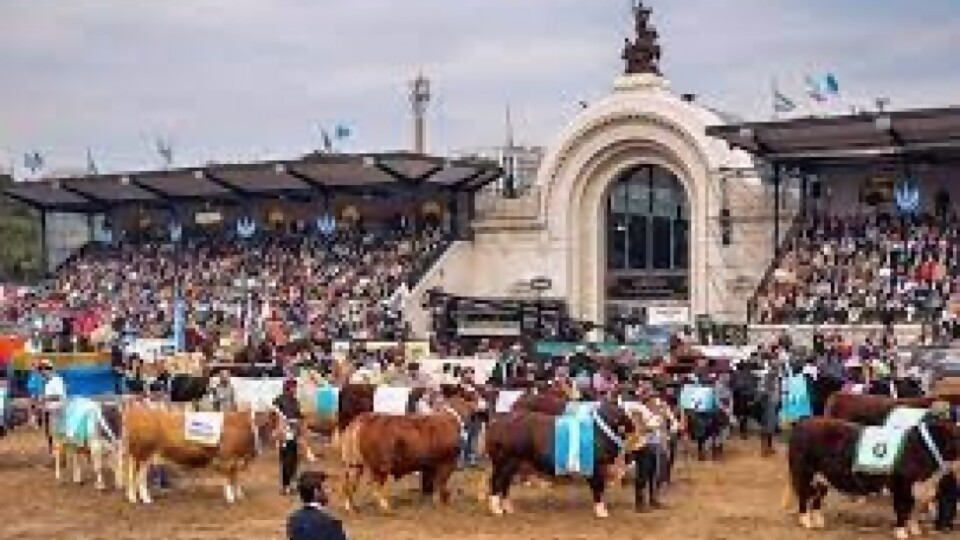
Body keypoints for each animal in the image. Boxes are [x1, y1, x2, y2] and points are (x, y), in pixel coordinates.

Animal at [121, 408, 278, 504]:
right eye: (278, 420)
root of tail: (138, 411)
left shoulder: (236, 459)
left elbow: (236, 477)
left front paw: (239, 495)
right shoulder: (227, 458)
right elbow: (228, 477)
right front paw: (230, 497)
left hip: (142, 455)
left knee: (136, 475)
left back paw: (135, 497)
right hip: (143, 454)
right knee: (136, 475)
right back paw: (142, 498)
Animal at [340, 392, 478, 510]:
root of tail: (361, 420)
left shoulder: (431, 465)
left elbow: (431, 482)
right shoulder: (447, 462)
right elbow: (441, 483)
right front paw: (442, 502)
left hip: (355, 463)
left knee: (350, 483)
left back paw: (350, 506)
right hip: (380, 466)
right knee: (376, 485)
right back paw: (385, 506)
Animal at [488, 400, 636, 520]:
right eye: (625, 413)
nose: (634, 427)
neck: (599, 430)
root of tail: (497, 423)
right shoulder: (597, 466)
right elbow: (598, 487)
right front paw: (601, 511)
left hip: (512, 463)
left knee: (505, 483)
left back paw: (508, 508)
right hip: (506, 460)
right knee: (496, 481)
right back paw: (497, 509)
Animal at [784, 416, 960, 536]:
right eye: (956, 436)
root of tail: (803, 422)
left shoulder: (919, 488)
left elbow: (913, 509)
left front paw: (915, 530)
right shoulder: (901, 484)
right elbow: (903, 508)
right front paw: (901, 532)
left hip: (822, 478)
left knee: (817, 498)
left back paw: (819, 522)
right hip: (804, 472)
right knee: (804, 497)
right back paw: (806, 521)